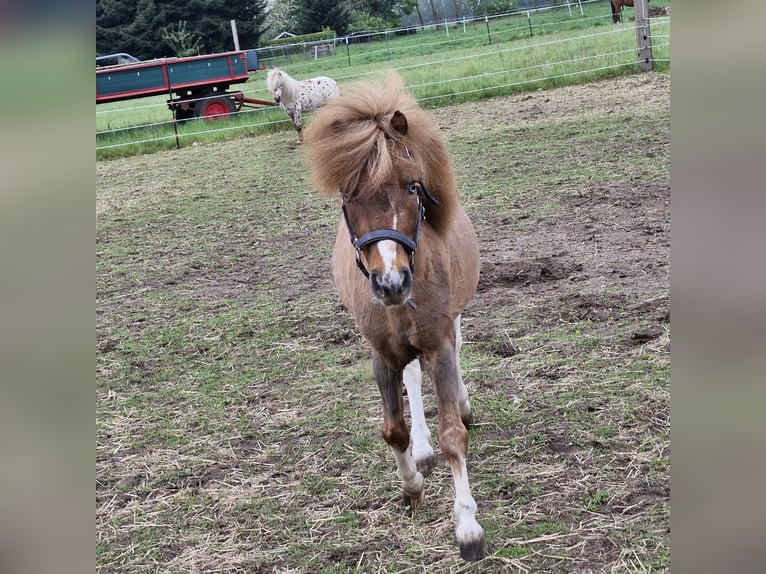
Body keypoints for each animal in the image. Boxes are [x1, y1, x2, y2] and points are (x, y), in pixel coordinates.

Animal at [303, 71, 486, 561]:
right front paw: (412, 486)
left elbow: (452, 434)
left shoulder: (439, 341)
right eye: (348, 196)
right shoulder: (382, 356)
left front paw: (468, 526)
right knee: (413, 379)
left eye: (412, 186)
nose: (390, 283)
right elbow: (393, 430)